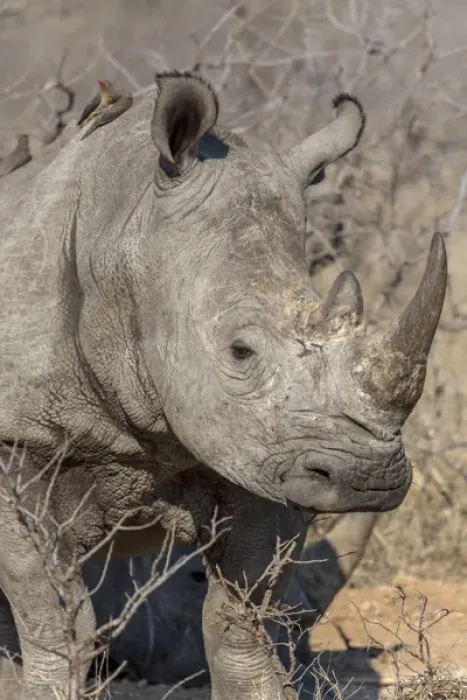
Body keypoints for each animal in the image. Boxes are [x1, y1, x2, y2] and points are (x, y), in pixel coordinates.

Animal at [0, 71, 447, 699]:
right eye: (240, 350)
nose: (369, 480)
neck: (124, 234)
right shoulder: (15, 438)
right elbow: (52, 616)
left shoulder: (261, 451)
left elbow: (240, 619)